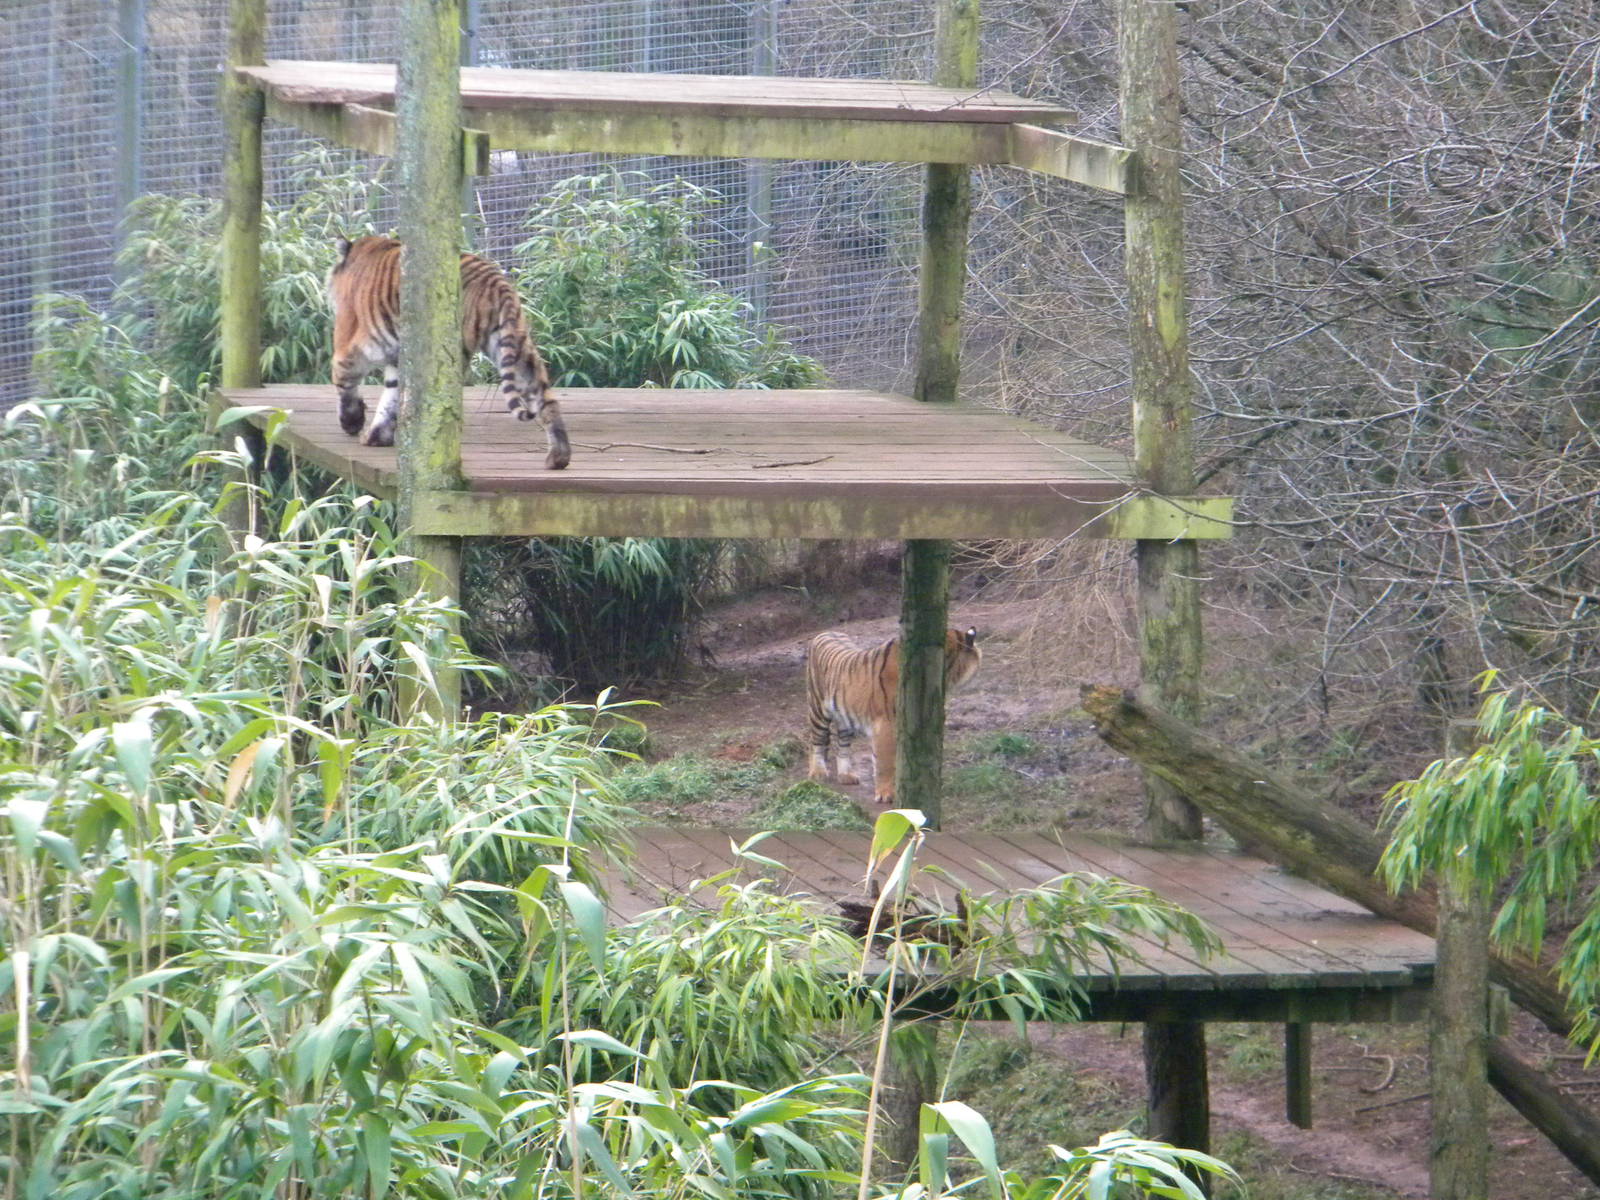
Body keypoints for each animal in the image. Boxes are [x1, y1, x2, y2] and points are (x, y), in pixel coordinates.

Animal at [328, 235, 571, 469]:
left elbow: (343, 379)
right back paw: (558, 457)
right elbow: (391, 394)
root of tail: (496, 282)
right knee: (545, 398)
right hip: (514, 346)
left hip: (451, 350)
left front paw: (352, 422)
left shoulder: (348, 342)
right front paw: (377, 436)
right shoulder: (396, 356)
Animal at [805, 626, 981, 806]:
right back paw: (818, 772)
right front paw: (886, 794)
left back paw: (846, 775)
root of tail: (825, 632)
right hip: (818, 708)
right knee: (816, 741)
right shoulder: (886, 723)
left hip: (844, 718)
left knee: (843, 745)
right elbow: (885, 761)